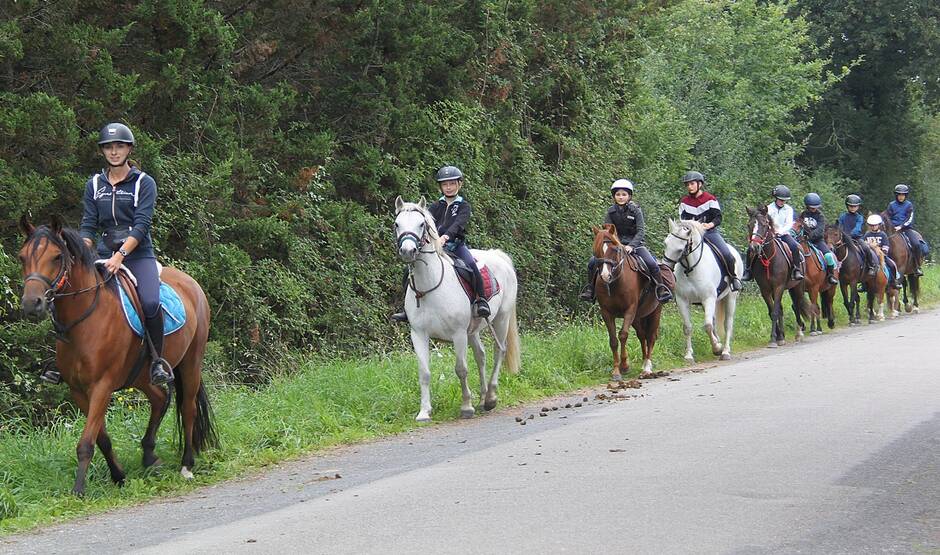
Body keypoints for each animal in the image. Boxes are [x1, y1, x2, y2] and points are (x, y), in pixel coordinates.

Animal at [18, 216, 217, 496]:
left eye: (57, 257)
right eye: (22, 257)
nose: (31, 303)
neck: (86, 320)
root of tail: (191, 283)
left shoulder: (102, 385)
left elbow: (86, 442)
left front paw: (79, 489)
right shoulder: (79, 390)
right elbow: (101, 438)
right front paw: (118, 476)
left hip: (191, 363)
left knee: (187, 409)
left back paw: (186, 465)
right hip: (141, 375)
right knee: (159, 399)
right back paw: (149, 456)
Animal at [392, 195, 516, 422]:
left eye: (421, 224)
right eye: (397, 224)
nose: (407, 251)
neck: (430, 285)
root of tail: (498, 256)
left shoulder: (458, 334)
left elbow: (461, 369)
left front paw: (466, 407)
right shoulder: (418, 334)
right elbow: (424, 372)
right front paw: (424, 411)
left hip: (501, 320)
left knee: (499, 352)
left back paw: (491, 397)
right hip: (473, 330)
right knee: (481, 356)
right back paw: (483, 398)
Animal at [592, 224, 664, 380]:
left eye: (616, 249)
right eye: (596, 249)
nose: (605, 275)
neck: (615, 282)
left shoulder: (629, 310)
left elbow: (623, 335)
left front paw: (624, 366)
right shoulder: (606, 312)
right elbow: (613, 340)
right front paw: (616, 371)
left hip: (655, 311)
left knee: (651, 336)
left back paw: (647, 368)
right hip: (638, 317)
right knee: (642, 335)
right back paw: (643, 363)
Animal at [660, 219, 740, 362]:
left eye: (680, 249)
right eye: (666, 243)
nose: (665, 267)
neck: (690, 269)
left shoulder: (708, 299)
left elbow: (707, 326)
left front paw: (717, 348)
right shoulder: (682, 300)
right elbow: (687, 327)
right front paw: (688, 355)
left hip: (731, 298)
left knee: (727, 323)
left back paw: (725, 351)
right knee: (714, 321)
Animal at [744, 208, 804, 348]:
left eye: (765, 225)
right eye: (749, 225)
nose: (754, 247)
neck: (769, 260)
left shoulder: (778, 287)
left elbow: (775, 312)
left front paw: (773, 339)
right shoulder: (765, 290)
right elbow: (772, 311)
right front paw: (777, 338)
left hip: (797, 286)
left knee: (797, 305)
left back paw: (799, 333)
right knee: (782, 308)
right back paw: (782, 335)